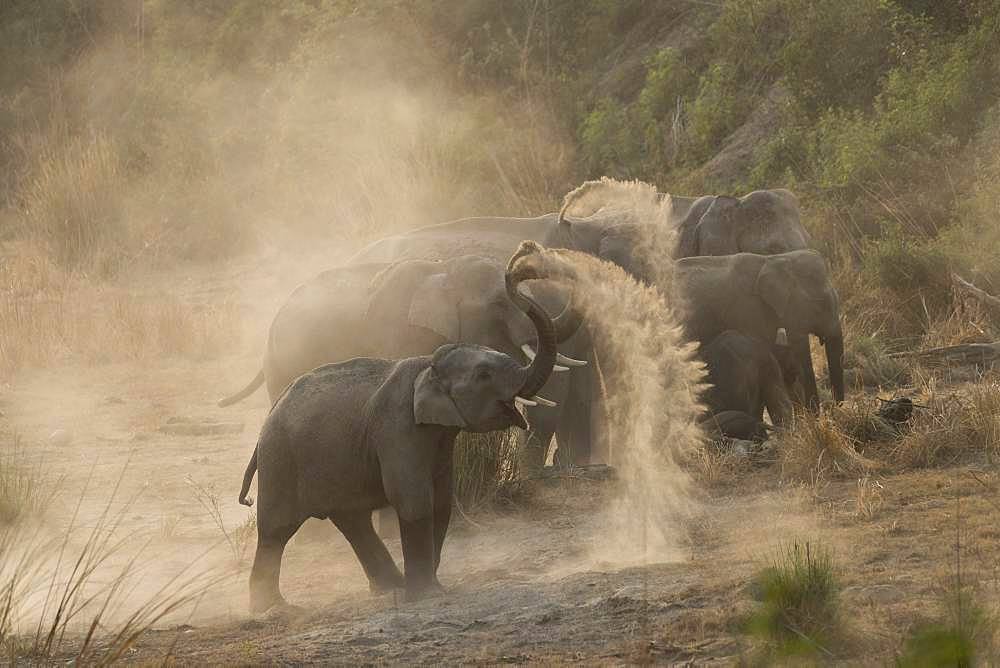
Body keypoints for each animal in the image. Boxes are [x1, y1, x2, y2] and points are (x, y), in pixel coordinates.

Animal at [238, 241, 560, 612]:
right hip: (281, 454)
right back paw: (275, 608)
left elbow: (440, 501)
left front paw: (433, 587)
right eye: (484, 375)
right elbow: (413, 499)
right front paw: (427, 596)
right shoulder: (398, 427)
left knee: (351, 519)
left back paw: (388, 588)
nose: (526, 250)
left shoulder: (437, 436)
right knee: (277, 529)